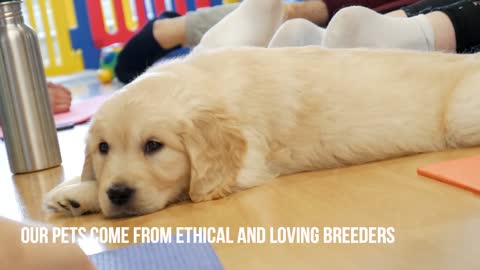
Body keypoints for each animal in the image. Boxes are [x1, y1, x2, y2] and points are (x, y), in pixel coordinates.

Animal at [45, 48, 480, 217]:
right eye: (103, 148)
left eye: (154, 146)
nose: (117, 193)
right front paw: (73, 190)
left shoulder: (246, 166)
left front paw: (83, 194)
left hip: (461, 118)